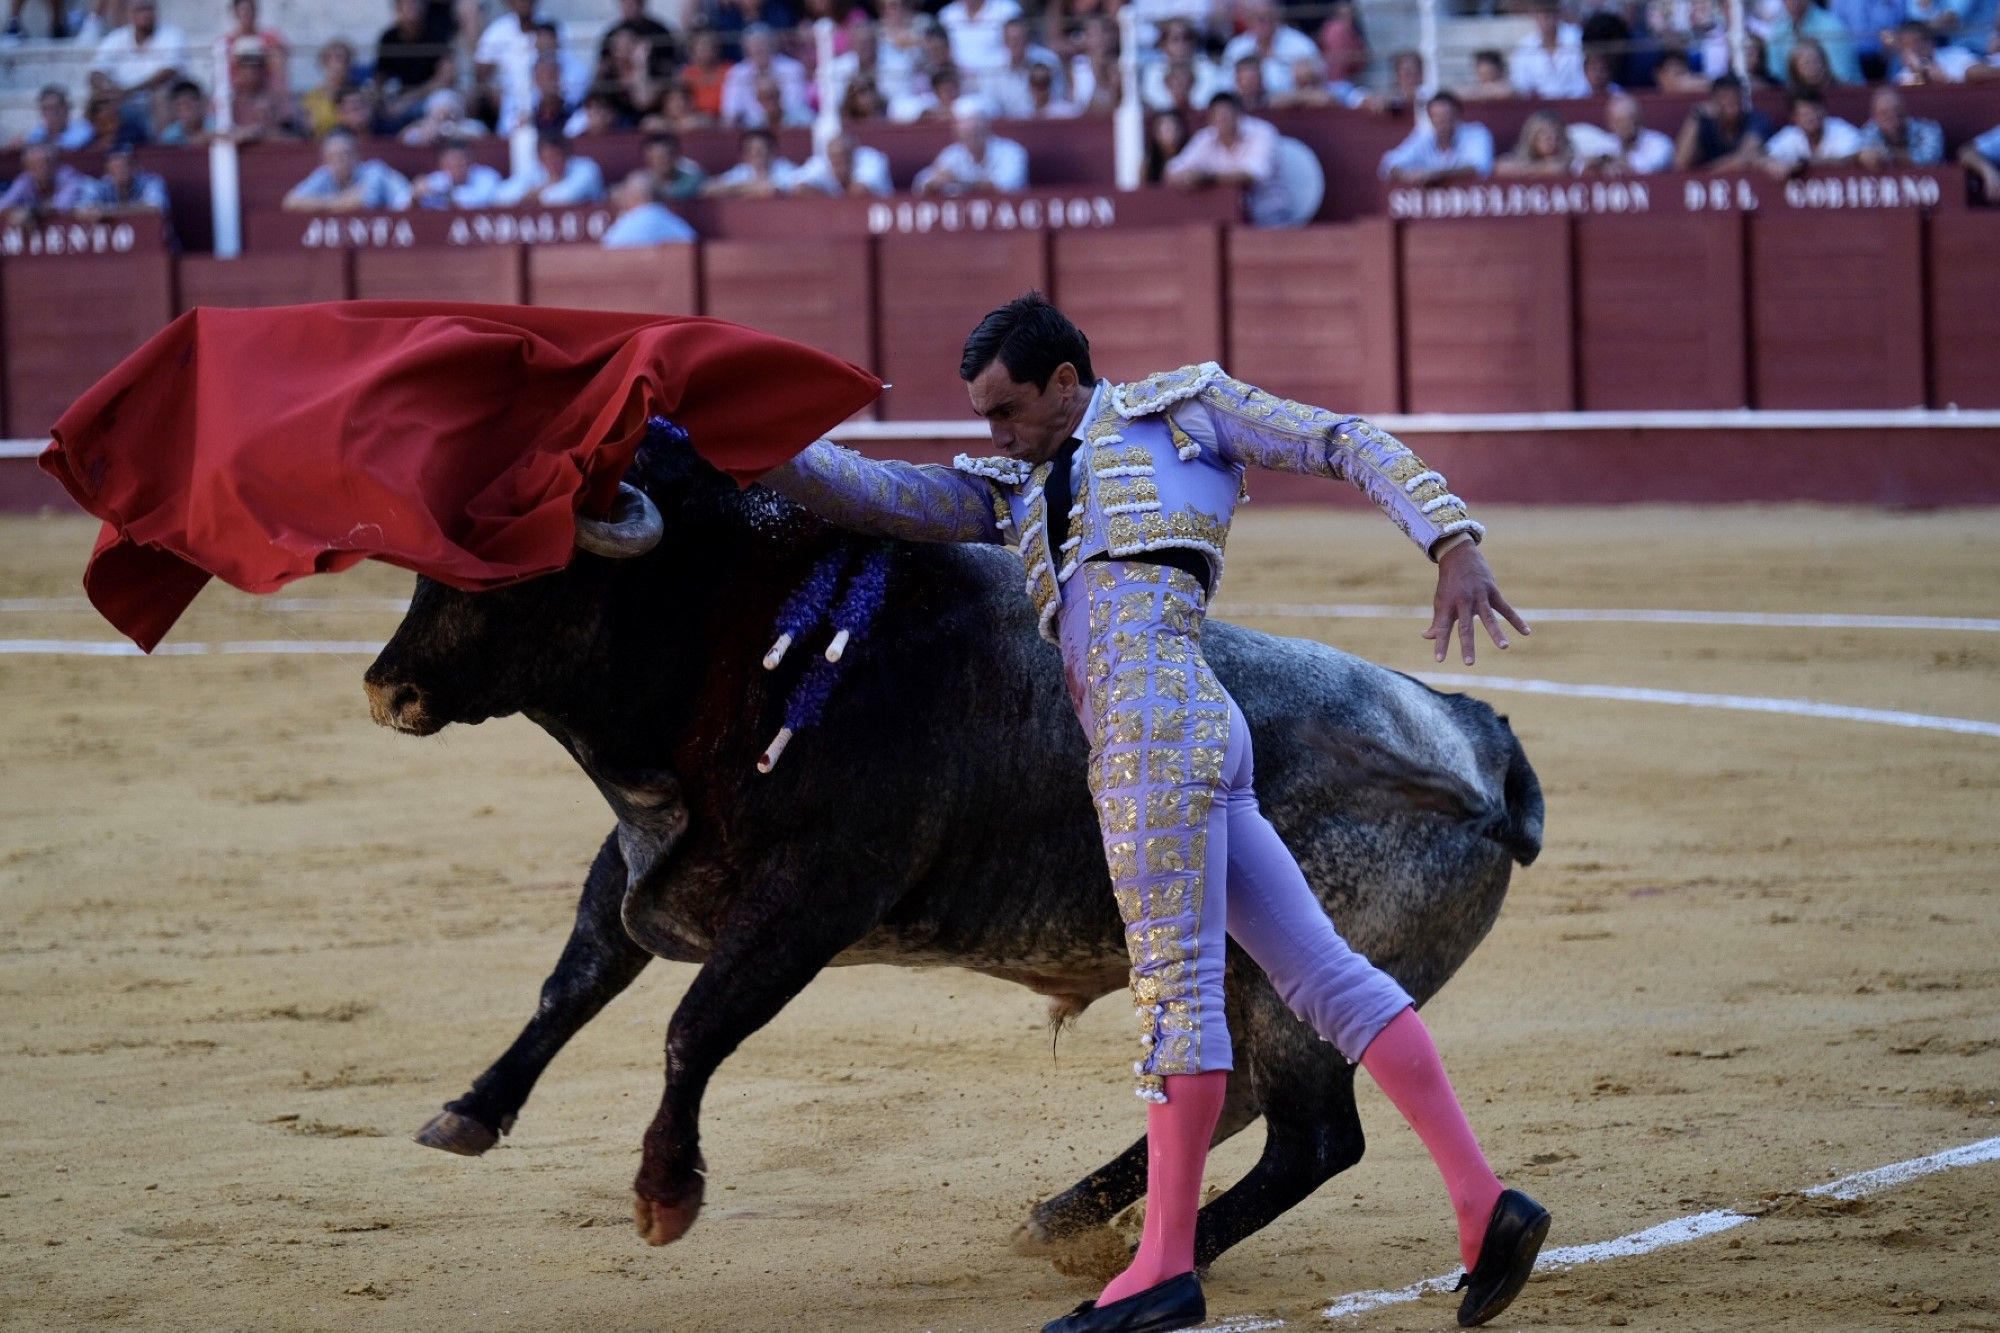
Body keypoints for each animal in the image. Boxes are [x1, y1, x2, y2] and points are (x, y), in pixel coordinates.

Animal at [364, 434, 1544, 1256]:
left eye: (522, 571)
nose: (387, 689)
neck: (733, 633)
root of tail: (1481, 738)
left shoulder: (814, 898)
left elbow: (692, 1026)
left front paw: (665, 1196)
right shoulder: (643, 855)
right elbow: (573, 981)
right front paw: (466, 1114)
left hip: (1303, 974)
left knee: (1309, 1137)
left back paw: (1151, 1260)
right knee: (1240, 1099)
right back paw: (1066, 1215)